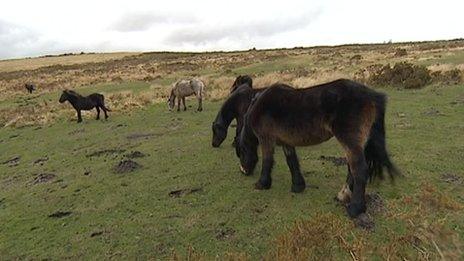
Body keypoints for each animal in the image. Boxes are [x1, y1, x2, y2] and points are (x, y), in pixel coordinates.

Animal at [237, 78, 400, 216]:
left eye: (240, 153)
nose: (244, 171)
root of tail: (372, 95)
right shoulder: (286, 142)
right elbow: (292, 161)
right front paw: (298, 186)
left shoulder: (266, 139)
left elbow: (267, 161)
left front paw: (262, 184)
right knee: (351, 169)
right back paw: (343, 196)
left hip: (350, 141)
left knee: (358, 170)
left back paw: (355, 208)